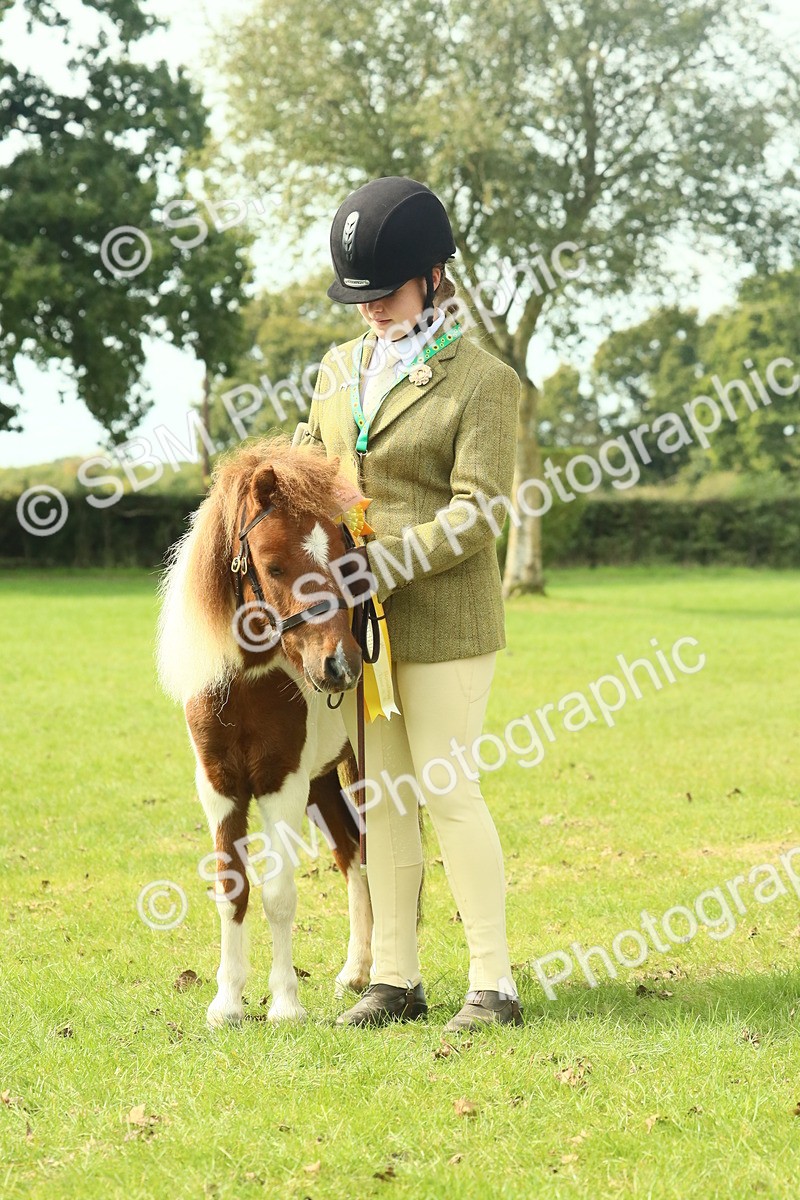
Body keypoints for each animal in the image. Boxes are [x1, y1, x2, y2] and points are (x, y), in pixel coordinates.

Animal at [155, 434, 375, 1027]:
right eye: (274, 566)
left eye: (347, 560)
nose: (340, 667)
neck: (249, 685)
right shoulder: (220, 786)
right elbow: (232, 888)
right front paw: (227, 1003)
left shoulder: (281, 784)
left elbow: (278, 894)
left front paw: (284, 1005)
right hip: (322, 783)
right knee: (351, 853)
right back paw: (356, 973)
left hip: (355, 773)